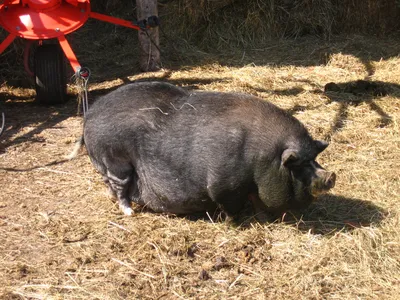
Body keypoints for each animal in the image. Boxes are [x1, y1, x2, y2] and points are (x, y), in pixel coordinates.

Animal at [70, 82, 336, 217]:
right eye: (300, 164)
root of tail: (89, 115)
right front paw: (234, 221)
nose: (331, 175)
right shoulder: (223, 186)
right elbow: (231, 208)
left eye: (315, 159)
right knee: (120, 187)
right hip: (115, 159)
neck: (262, 159)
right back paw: (128, 213)